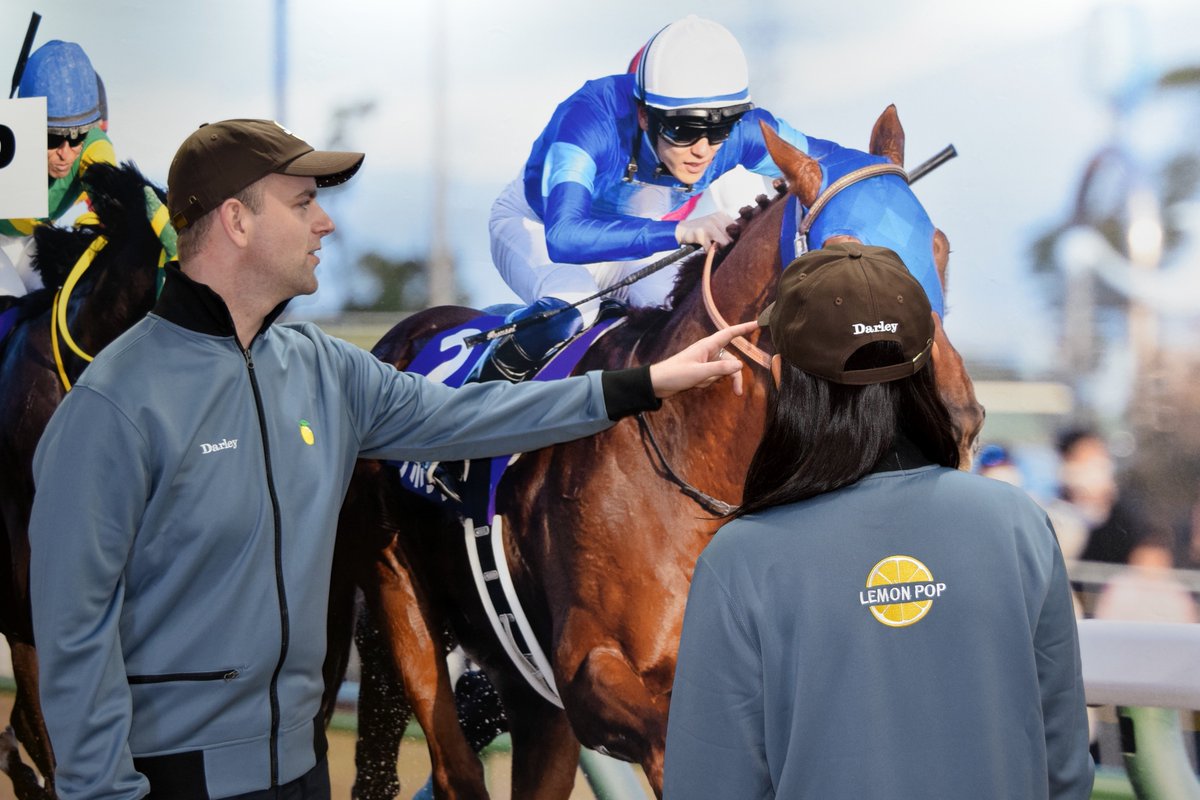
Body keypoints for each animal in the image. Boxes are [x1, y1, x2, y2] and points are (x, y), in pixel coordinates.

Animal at [331, 105, 985, 799]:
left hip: (528, 692)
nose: (958, 421)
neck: (695, 469)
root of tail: (401, 338)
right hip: (401, 601)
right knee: (453, 763)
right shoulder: (593, 670)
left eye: (939, 248)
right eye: (847, 264)